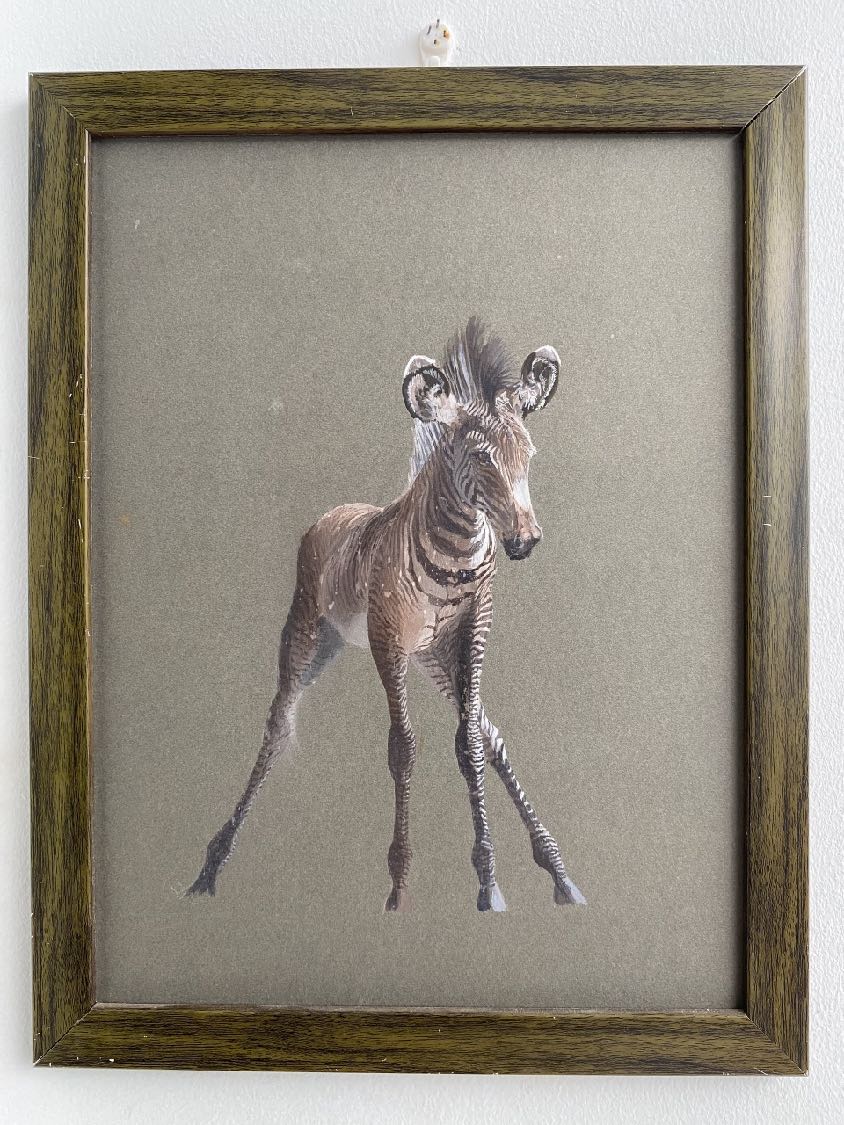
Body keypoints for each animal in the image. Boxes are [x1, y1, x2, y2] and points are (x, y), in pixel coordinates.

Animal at [188, 318, 585, 912]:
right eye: (480, 457)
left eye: (530, 453)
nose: (525, 541)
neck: (456, 554)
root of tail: (336, 511)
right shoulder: (387, 639)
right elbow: (403, 748)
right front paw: (399, 888)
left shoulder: (472, 634)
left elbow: (474, 743)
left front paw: (494, 883)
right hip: (309, 632)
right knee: (278, 724)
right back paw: (211, 867)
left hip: (427, 657)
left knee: (486, 733)